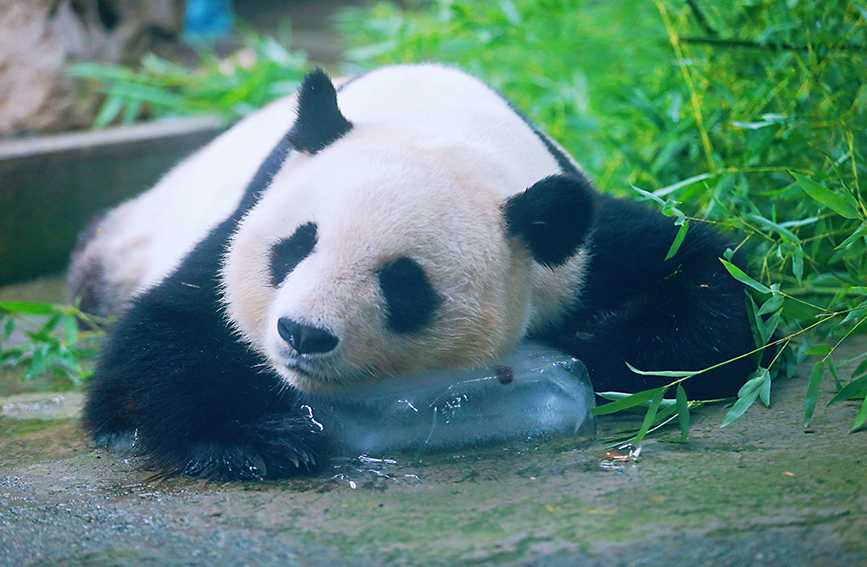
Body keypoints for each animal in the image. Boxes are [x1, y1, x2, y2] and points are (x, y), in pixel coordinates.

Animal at [73, 64, 760, 482]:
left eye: (403, 284)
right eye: (296, 247)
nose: (302, 334)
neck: (437, 125)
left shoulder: (578, 250)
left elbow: (715, 289)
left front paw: (598, 347)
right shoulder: (246, 217)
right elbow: (167, 333)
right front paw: (255, 441)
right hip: (125, 240)